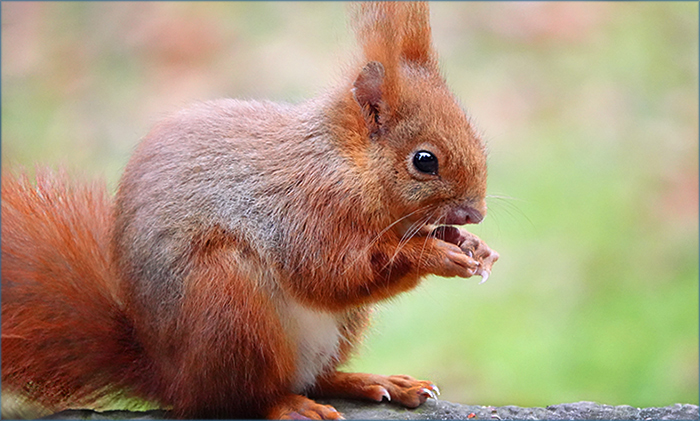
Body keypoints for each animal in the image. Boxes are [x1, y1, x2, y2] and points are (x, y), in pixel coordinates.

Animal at [1, 2, 499, 419]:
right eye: (424, 161)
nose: (474, 214)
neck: (347, 161)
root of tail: (171, 379)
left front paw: (473, 246)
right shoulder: (302, 207)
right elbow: (330, 272)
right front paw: (435, 255)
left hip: (333, 328)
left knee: (316, 378)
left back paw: (375, 381)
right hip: (228, 302)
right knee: (238, 399)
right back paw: (288, 405)